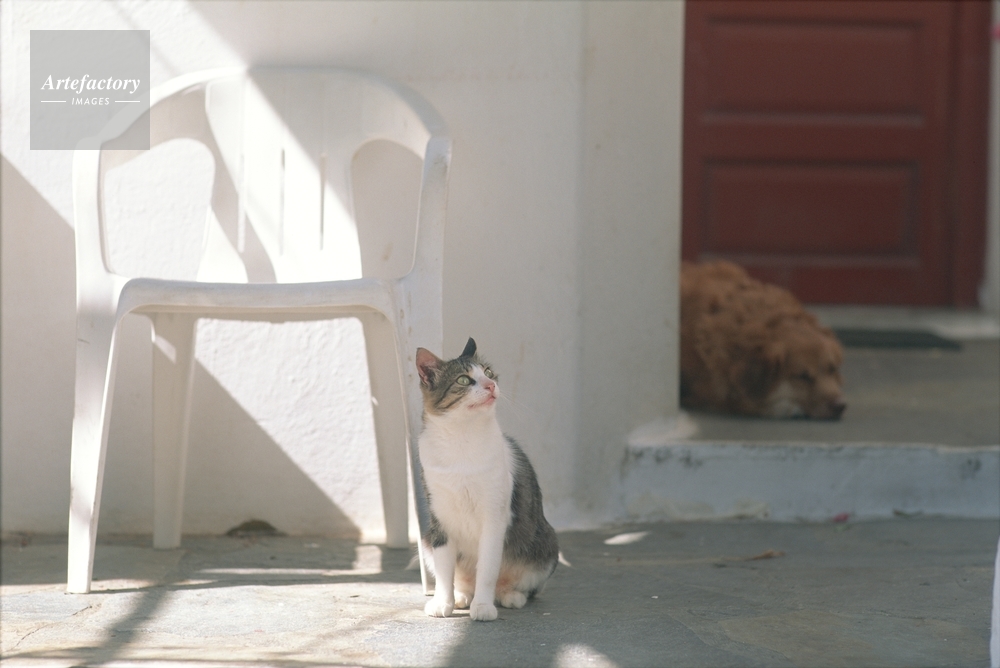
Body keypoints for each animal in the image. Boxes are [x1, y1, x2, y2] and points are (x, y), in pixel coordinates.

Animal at [416, 338, 559, 622]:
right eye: (463, 380)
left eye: (489, 373)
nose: (491, 385)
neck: (462, 438)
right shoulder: (440, 519)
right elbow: (445, 569)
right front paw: (442, 602)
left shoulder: (494, 516)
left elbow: (488, 568)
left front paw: (482, 606)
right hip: (427, 539)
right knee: (459, 578)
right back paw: (461, 596)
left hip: (546, 543)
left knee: (523, 585)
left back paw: (508, 596)